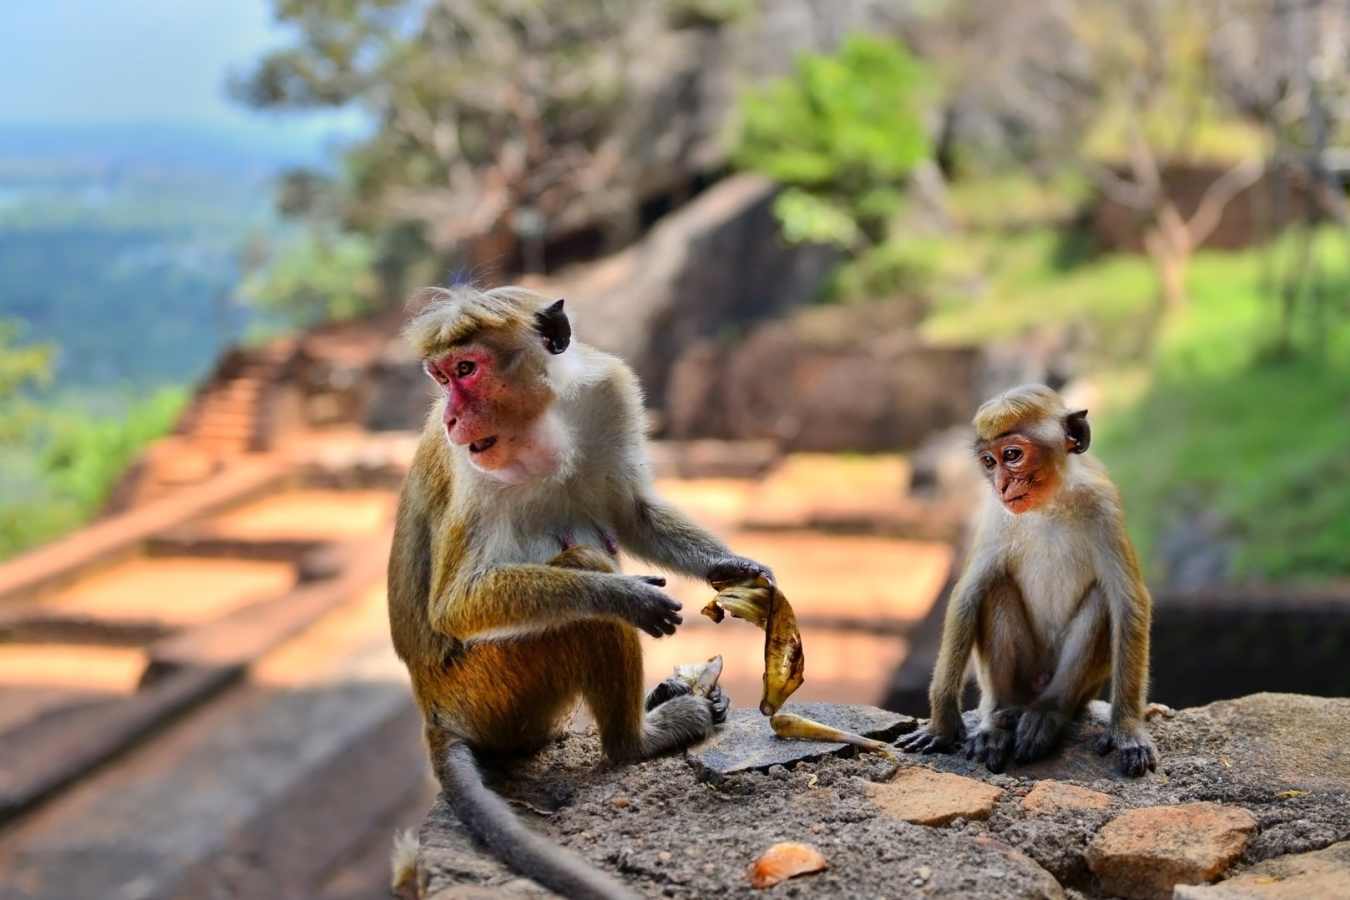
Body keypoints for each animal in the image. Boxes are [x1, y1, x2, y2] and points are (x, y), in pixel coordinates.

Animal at [386, 285, 773, 899]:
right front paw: (628, 598)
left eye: (466, 370)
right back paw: (638, 738)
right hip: (492, 688)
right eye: (441, 377)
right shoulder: (472, 469)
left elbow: (631, 512)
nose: (450, 418)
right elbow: (457, 604)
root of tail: (435, 710)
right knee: (585, 598)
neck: (545, 425)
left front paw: (733, 566)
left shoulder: (607, 391)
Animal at [898, 383, 1158, 777]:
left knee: (1100, 602)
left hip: (1075, 685)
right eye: (989, 462)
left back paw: (1047, 713)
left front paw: (1127, 732)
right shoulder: (994, 513)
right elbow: (968, 594)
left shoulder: (1103, 505)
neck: (1050, 504)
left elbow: (1129, 602)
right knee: (997, 589)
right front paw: (942, 726)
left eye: (1012, 455)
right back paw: (999, 719)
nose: (1003, 484)